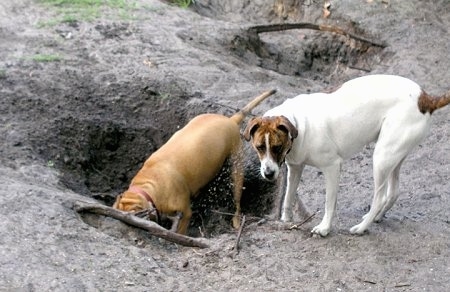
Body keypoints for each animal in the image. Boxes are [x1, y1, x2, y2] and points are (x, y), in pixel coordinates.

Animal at [112, 88, 276, 234]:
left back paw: (236, 220)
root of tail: (230, 120)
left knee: (236, 200)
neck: (148, 185)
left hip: (236, 170)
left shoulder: (184, 213)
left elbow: (180, 231)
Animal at [244, 74, 448, 236]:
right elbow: (288, 197)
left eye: (277, 147)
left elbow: (329, 203)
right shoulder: (295, 168)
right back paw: (377, 216)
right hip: (393, 157)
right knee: (393, 192)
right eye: (259, 147)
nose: (268, 174)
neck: (299, 124)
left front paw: (324, 228)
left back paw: (362, 227)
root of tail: (425, 98)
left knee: (380, 197)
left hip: (381, 158)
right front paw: (286, 220)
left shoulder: (332, 167)